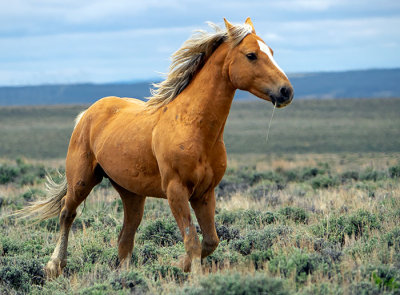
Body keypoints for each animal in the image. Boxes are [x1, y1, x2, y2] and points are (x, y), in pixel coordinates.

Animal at [19, 17, 294, 278]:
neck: (193, 127)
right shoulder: (176, 191)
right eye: (251, 55)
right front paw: (193, 276)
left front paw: (178, 265)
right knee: (67, 214)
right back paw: (54, 265)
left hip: (132, 193)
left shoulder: (205, 193)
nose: (286, 91)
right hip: (82, 180)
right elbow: (192, 241)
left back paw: (124, 276)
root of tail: (88, 113)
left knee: (125, 238)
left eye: (271, 50)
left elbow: (210, 241)